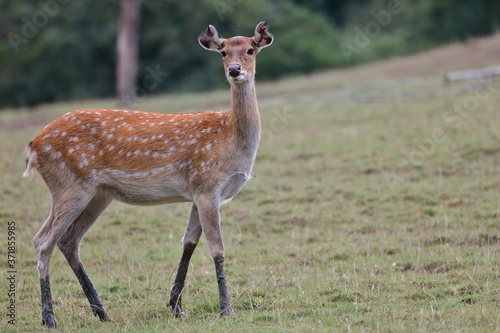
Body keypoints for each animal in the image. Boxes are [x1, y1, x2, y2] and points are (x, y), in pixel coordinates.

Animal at [23, 21, 274, 326]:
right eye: (223, 52)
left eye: (251, 50)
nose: (235, 70)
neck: (230, 139)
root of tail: (33, 146)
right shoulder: (207, 186)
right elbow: (217, 248)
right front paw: (226, 308)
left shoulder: (198, 192)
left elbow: (188, 243)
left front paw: (176, 305)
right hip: (68, 185)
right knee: (43, 242)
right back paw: (49, 317)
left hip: (97, 194)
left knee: (67, 240)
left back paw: (102, 312)